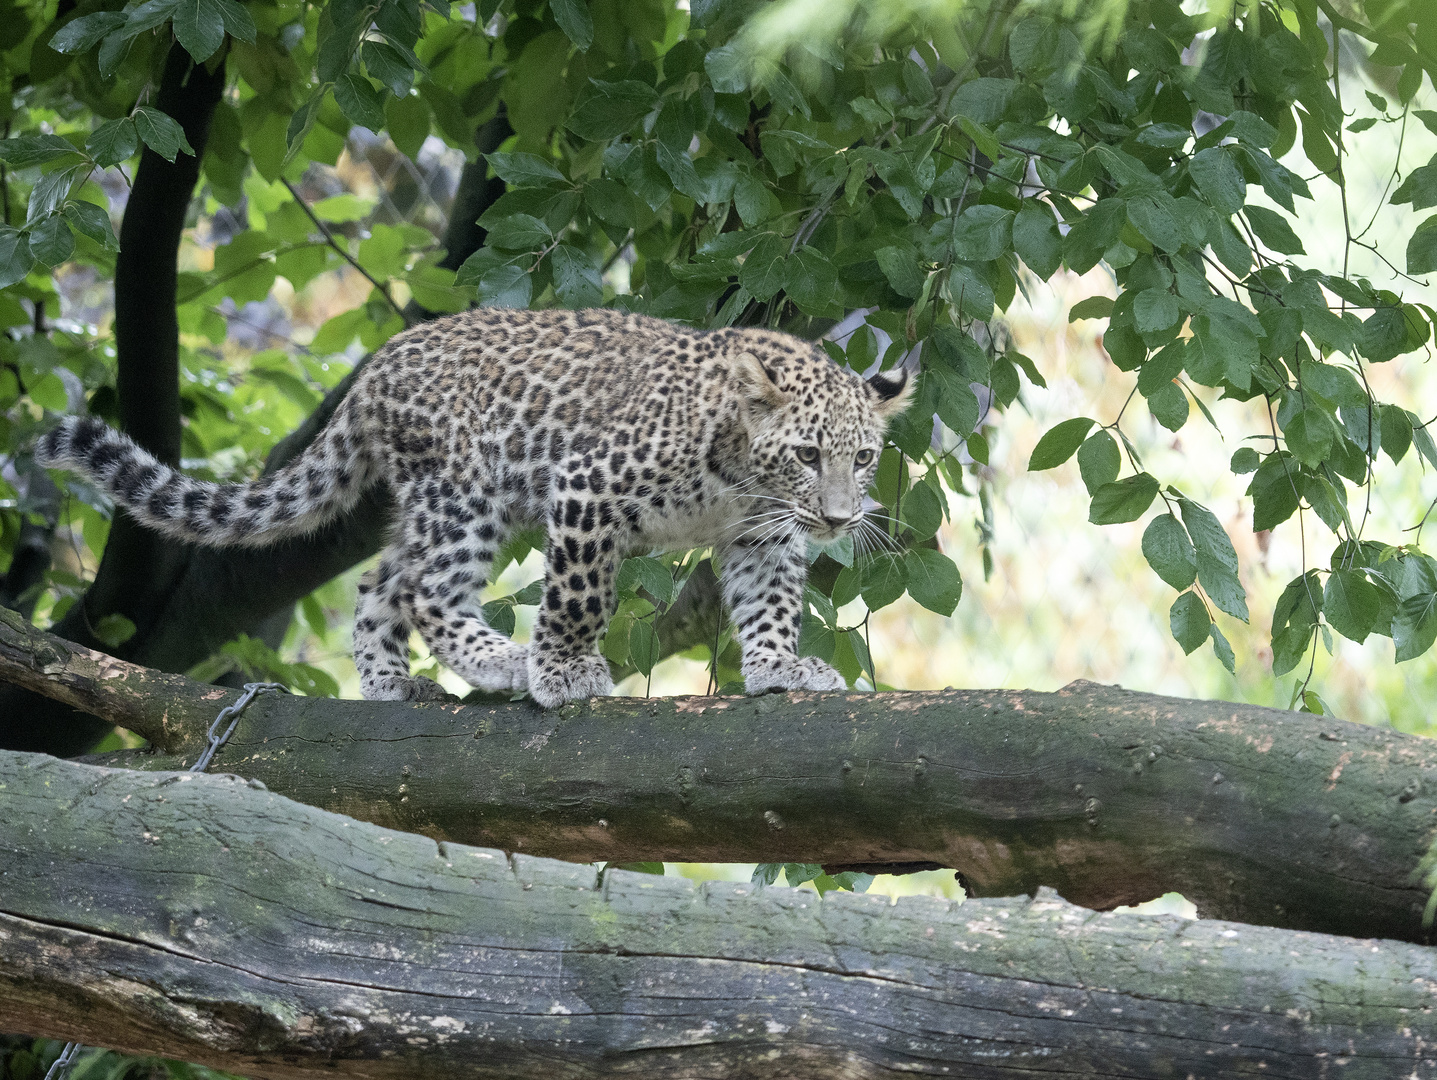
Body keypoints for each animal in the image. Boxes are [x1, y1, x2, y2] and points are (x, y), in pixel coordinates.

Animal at [42, 307, 908, 709]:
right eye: (807, 455)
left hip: (434, 504)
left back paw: (391, 682)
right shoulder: (586, 486)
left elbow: (769, 604)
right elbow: (578, 597)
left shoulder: (761, 537)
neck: (742, 475)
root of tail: (380, 361)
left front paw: (777, 667)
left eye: (863, 458)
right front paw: (561, 672)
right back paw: (501, 660)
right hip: (464, 492)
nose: (838, 520)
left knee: (379, 584)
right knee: (427, 591)